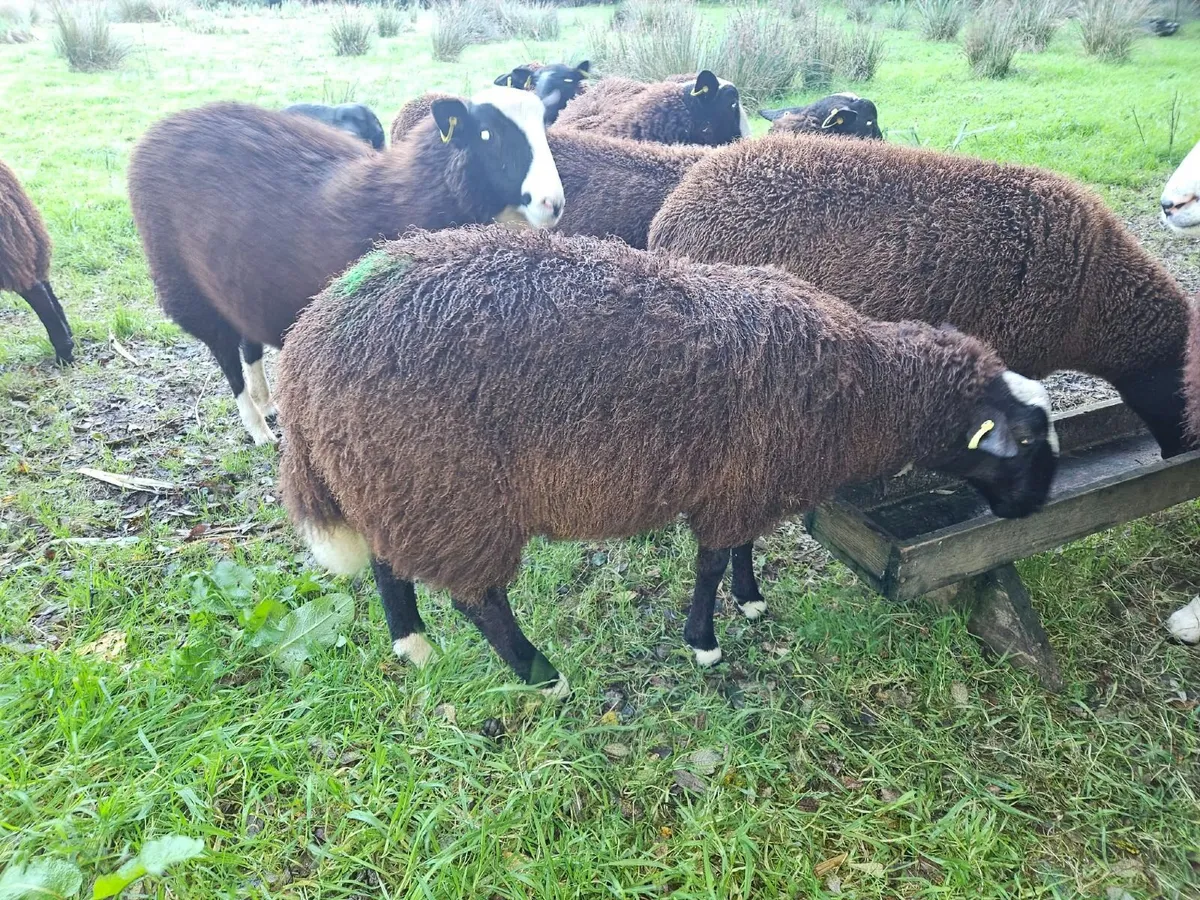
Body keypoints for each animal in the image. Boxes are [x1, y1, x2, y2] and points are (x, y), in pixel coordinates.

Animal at [128, 89, 564, 445]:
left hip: (236, 281)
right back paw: (259, 428)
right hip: (185, 286)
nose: (552, 203)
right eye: (487, 134)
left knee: (248, 344)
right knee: (225, 354)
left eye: (543, 127)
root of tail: (164, 126)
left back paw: (267, 403)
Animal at [276, 226, 1058, 693]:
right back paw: (539, 672)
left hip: (389, 483)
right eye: (1023, 444)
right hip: (445, 490)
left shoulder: (746, 482)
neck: (860, 389)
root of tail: (304, 350)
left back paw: (414, 646)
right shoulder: (737, 485)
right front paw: (705, 642)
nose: (1032, 510)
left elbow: (743, 548)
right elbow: (711, 562)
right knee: (479, 599)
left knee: (389, 563)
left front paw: (751, 600)